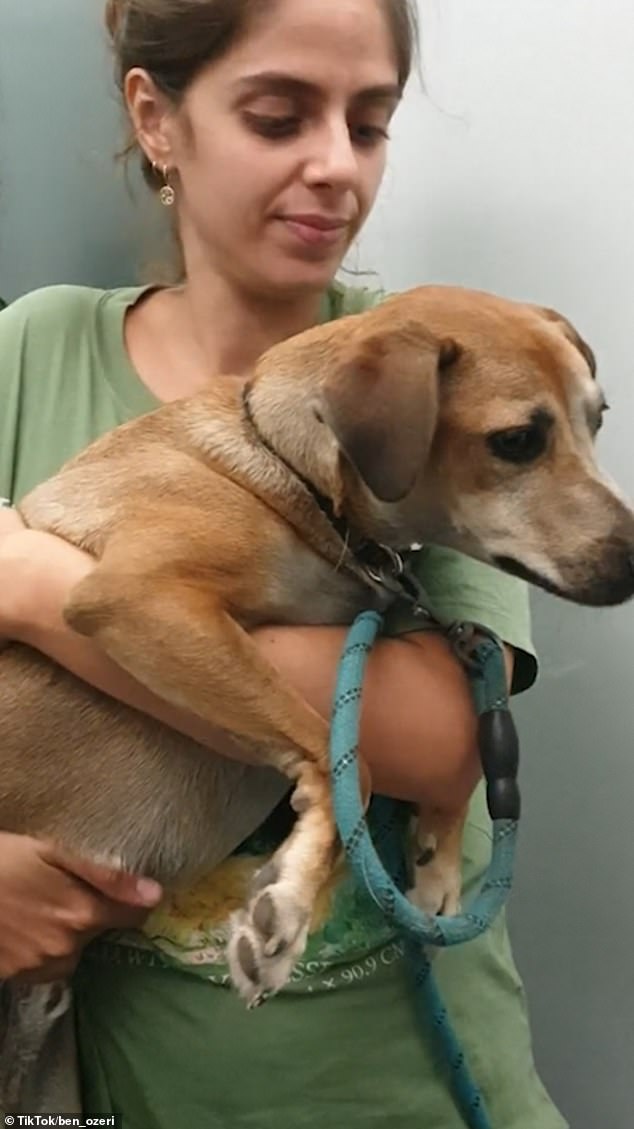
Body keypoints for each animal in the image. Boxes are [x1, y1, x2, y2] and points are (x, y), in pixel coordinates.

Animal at [1, 284, 631, 1007]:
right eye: (518, 440)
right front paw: (290, 902)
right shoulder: (140, 594)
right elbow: (348, 764)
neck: (289, 469)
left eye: (597, 419)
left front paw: (437, 859)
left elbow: (467, 741)